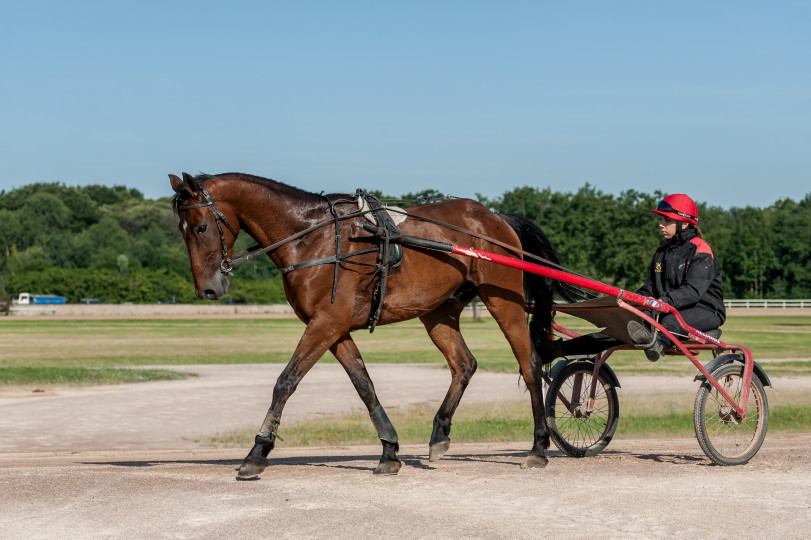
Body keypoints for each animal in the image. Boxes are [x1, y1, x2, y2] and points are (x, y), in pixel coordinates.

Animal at [171, 172, 560, 476]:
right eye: (181, 230)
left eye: (202, 227)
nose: (207, 289)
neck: (311, 236)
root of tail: (494, 217)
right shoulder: (334, 327)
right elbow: (364, 384)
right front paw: (389, 450)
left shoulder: (325, 323)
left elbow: (285, 382)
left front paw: (257, 451)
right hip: (438, 311)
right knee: (464, 364)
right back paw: (439, 434)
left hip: (503, 299)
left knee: (530, 364)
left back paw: (539, 446)